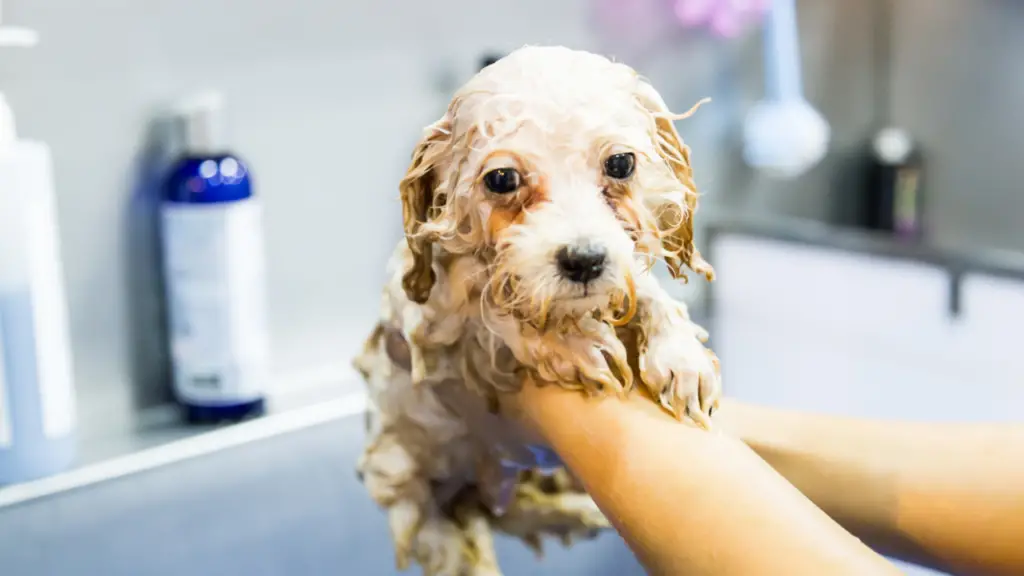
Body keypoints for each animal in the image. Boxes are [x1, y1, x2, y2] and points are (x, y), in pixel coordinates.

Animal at [356, 45, 724, 573]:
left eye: (620, 163)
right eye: (502, 178)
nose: (585, 260)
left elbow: (648, 291)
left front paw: (681, 358)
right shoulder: (417, 313)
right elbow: (488, 308)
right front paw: (571, 345)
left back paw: (581, 513)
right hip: (409, 489)